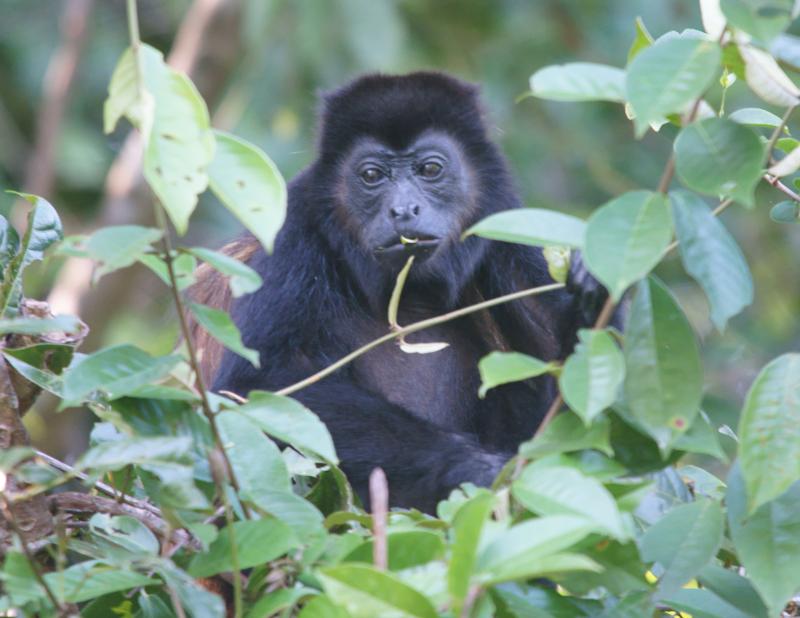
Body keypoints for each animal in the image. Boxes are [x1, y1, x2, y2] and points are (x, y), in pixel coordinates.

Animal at [192, 71, 612, 510]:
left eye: (430, 168)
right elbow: (255, 385)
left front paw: (593, 281)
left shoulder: (504, 224)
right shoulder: (295, 232)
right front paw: (474, 466)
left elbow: (566, 393)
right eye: (371, 176)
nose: (404, 209)